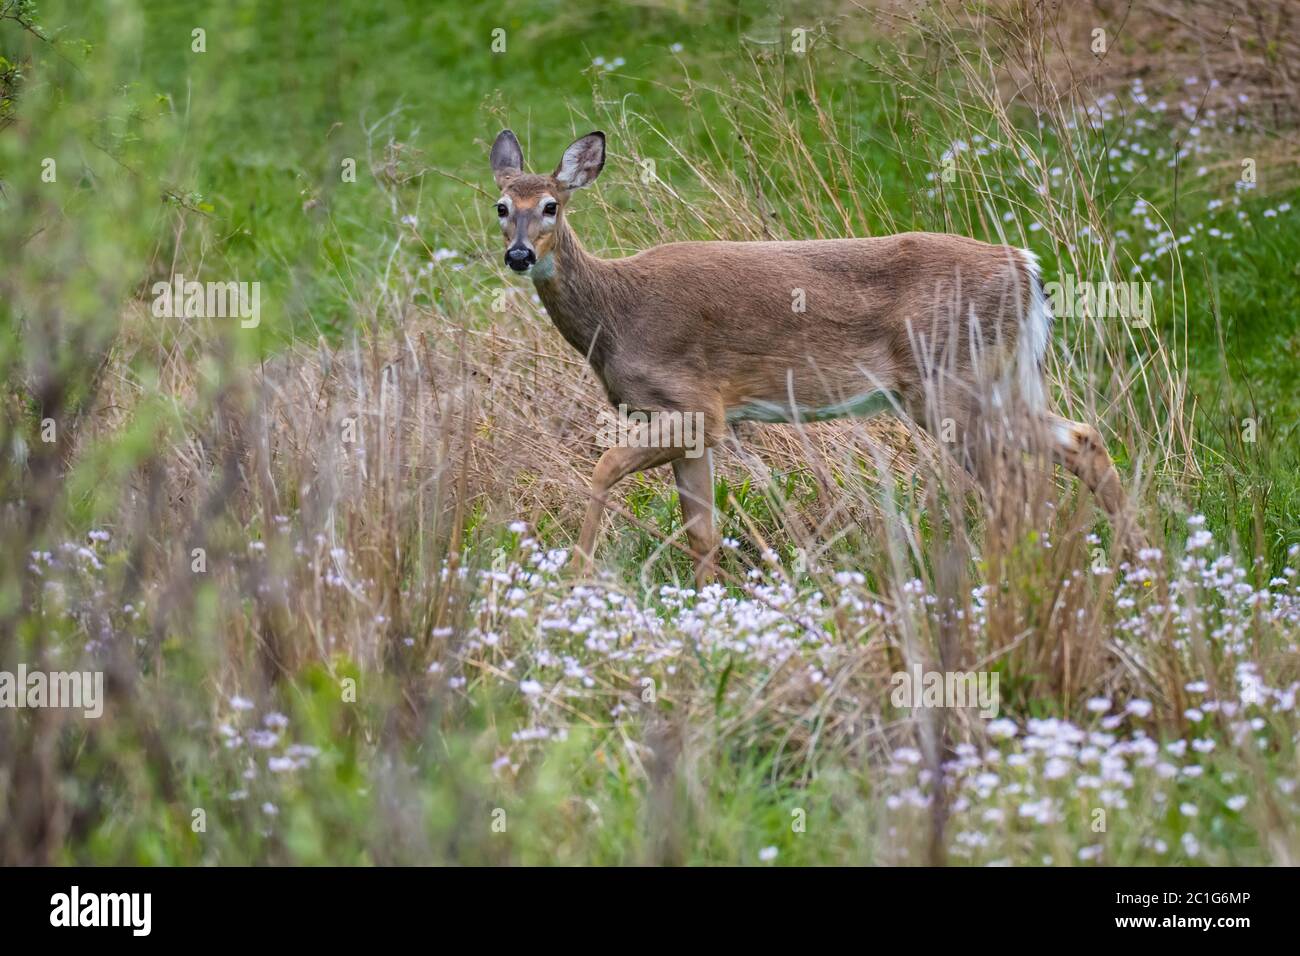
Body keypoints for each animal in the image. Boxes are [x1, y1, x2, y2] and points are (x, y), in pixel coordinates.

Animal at [488, 130, 1138, 587]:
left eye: (550, 205)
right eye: (500, 206)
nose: (519, 255)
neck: (616, 315)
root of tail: (1028, 269)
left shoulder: (696, 405)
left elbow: (605, 467)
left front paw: (576, 574)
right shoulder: (692, 423)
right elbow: (702, 531)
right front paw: (705, 604)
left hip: (950, 383)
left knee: (1015, 483)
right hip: (1002, 379)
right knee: (1080, 437)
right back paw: (1128, 558)